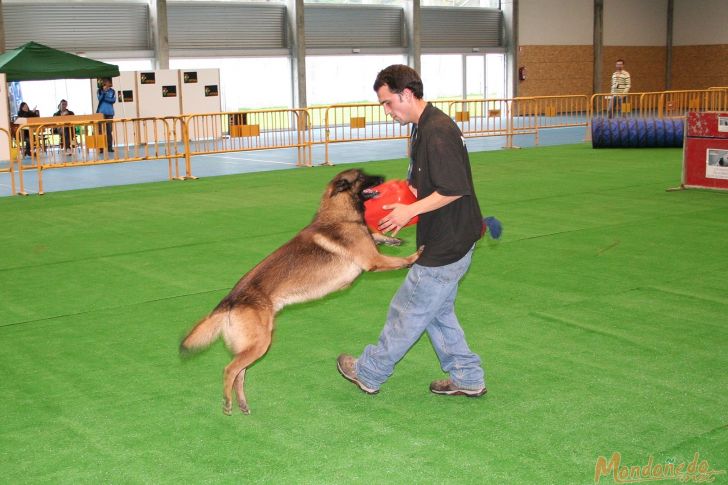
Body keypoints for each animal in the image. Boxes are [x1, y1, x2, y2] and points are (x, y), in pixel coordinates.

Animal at [179, 167, 424, 412]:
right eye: (362, 176)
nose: (383, 176)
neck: (340, 214)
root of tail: (230, 300)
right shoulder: (373, 260)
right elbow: (397, 260)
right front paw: (415, 255)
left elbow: (375, 236)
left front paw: (390, 239)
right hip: (260, 344)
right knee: (230, 370)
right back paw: (229, 403)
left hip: (252, 345)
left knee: (240, 372)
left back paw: (242, 403)